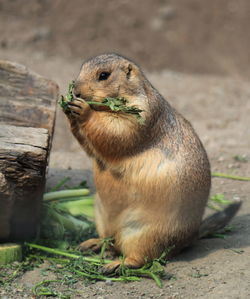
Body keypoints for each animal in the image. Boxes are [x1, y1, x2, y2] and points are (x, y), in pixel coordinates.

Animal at [63, 53, 241, 274]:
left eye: (104, 75)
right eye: (81, 68)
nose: (76, 91)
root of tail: (190, 237)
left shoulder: (143, 114)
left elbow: (117, 131)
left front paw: (82, 108)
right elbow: (92, 148)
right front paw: (67, 108)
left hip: (145, 234)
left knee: (139, 257)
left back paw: (114, 265)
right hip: (101, 217)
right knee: (110, 241)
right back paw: (90, 244)